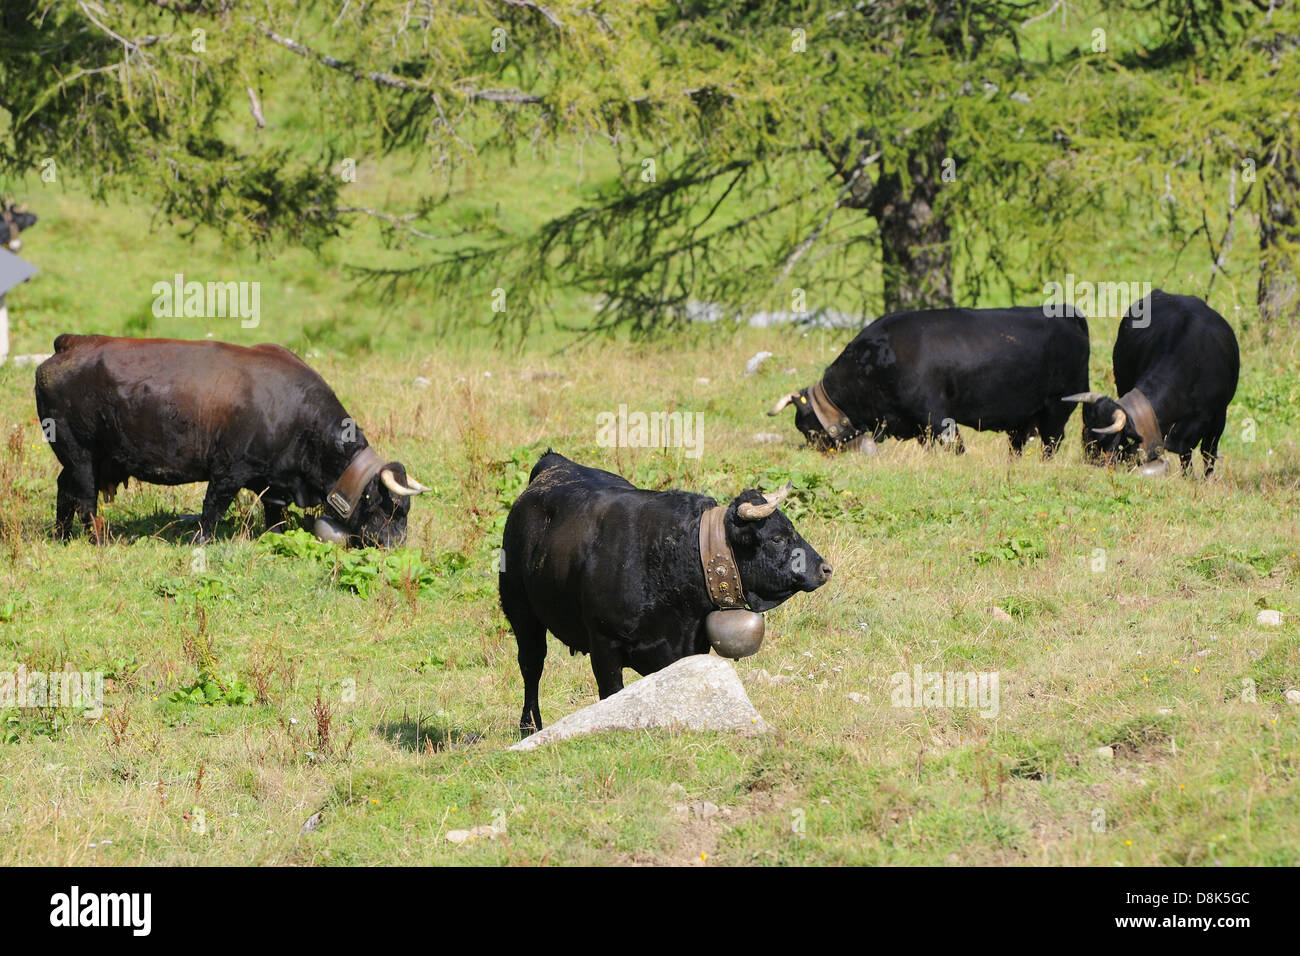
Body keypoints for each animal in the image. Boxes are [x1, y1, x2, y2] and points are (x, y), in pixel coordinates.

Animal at [34, 334, 428, 545]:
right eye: (391, 507)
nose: (396, 546)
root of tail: (71, 343)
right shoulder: (228, 471)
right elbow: (212, 510)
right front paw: (201, 541)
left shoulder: (276, 484)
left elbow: (275, 515)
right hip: (81, 456)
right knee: (85, 500)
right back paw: (98, 539)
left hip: (84, 460)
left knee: (65, 491)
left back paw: (62, 535)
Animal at [499, 451, 832, 735]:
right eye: (777, 537)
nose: (825, 568)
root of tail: (554, 462)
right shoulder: (604, 644)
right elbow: (611, 694)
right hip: (521, 611)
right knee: (531, 665)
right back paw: (529, 726)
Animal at [767, 305, 1091, 456]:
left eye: (807, 429)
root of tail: (1067, 313)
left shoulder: (938, 417)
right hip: (1023, 420)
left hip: (1057, 410)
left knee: (1050, 446)